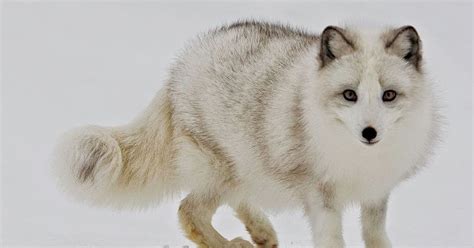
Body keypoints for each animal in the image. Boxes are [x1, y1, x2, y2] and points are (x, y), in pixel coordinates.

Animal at [52, 21, 440, 248]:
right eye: (349, 95)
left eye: (388, 95)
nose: (369, 132)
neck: (361, 158)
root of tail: (181, 64)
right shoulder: (321, 195)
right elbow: (332, 241)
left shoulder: (376, 193)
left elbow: (376, 237)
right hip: (221, 170)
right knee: (188, 212)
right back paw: (232, 243)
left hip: (244, 167)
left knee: (230, 201)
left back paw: (263, 233)